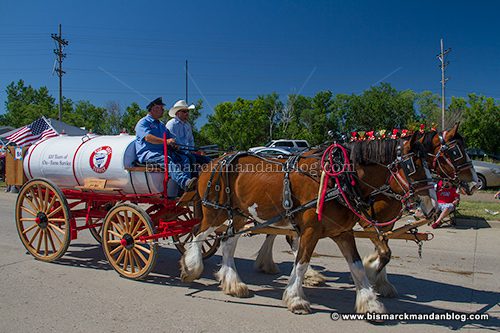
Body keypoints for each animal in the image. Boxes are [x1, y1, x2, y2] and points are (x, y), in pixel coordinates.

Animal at [181, 132, 438, 312]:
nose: (434, 207)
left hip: (238, 215)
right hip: (215, 212)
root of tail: (212, 162)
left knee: (227, 243)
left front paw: (370, 301)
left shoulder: (343, 232)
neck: (337, 179)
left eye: (431, 165)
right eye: (413, 167)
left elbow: (356, 266)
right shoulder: (310, 230)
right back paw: (191, 268)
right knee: (197, 234)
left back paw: (233, 284)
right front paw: (296, 299)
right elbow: (301, 263)